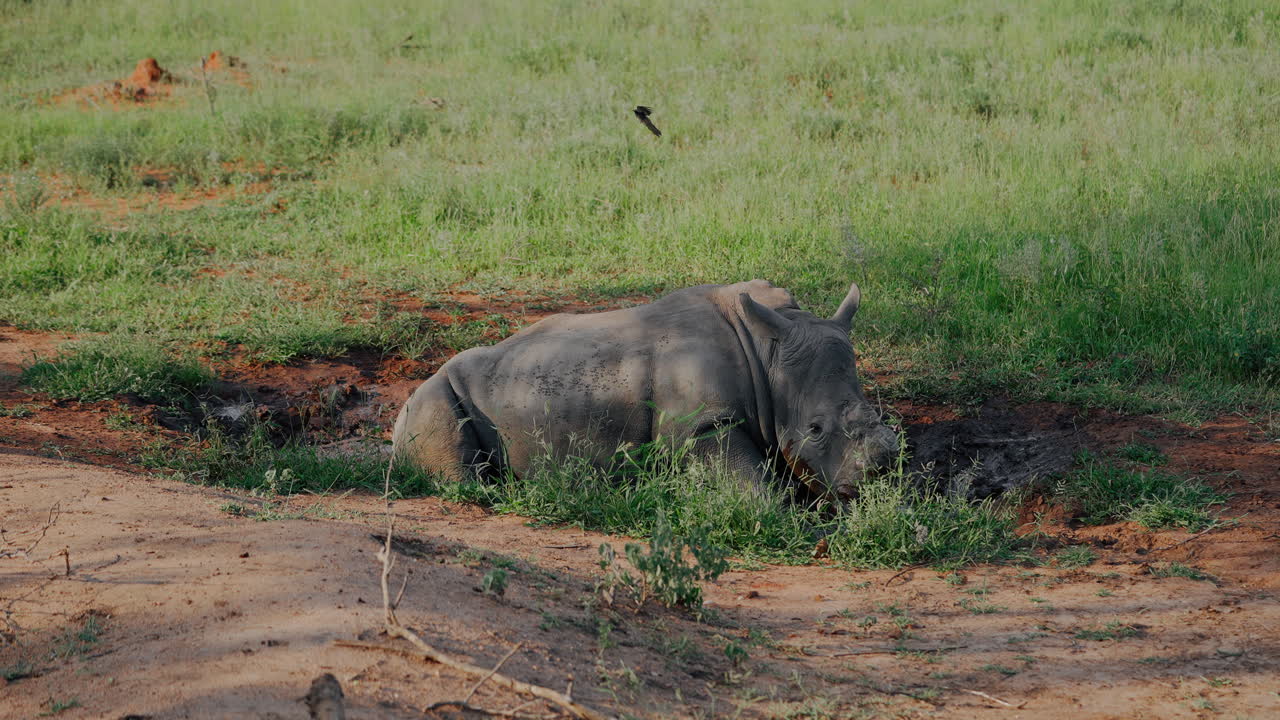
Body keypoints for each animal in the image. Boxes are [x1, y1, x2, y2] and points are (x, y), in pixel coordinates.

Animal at [392, 280, 897, 500]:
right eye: (814, 429)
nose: (883, 470)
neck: (768, 354)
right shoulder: (701, 426)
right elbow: (756, 493)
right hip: (433, 394)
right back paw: (498, 494)